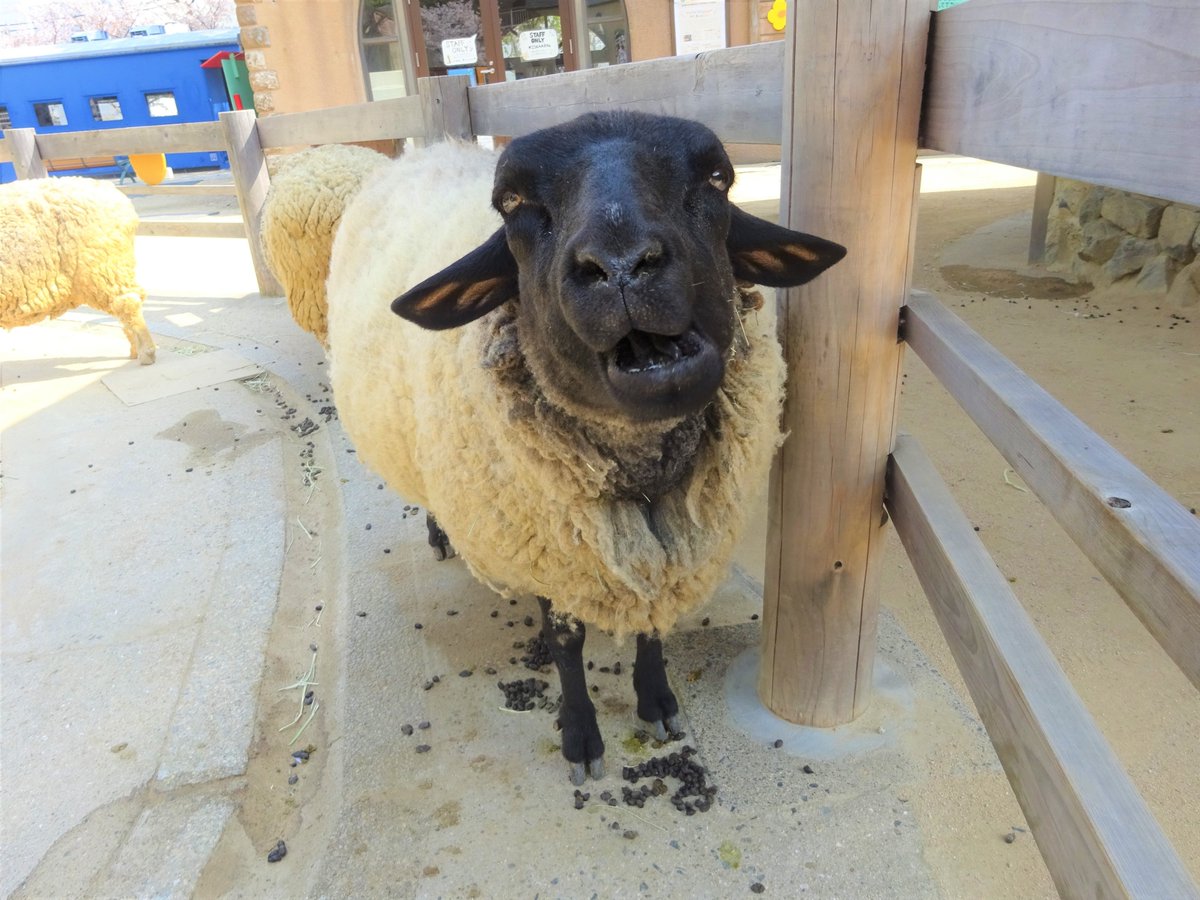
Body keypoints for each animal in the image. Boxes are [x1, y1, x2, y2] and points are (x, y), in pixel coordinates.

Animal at [297, 114, 844, 787]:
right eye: (513, 204)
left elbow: (651, 624)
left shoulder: (656, 553)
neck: (638, 464)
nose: (622, 265)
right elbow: (567, 644)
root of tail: (423, 152)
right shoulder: (552, 545)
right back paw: (440, 533)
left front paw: (657, 702)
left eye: (719, 178)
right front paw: (581, 735)